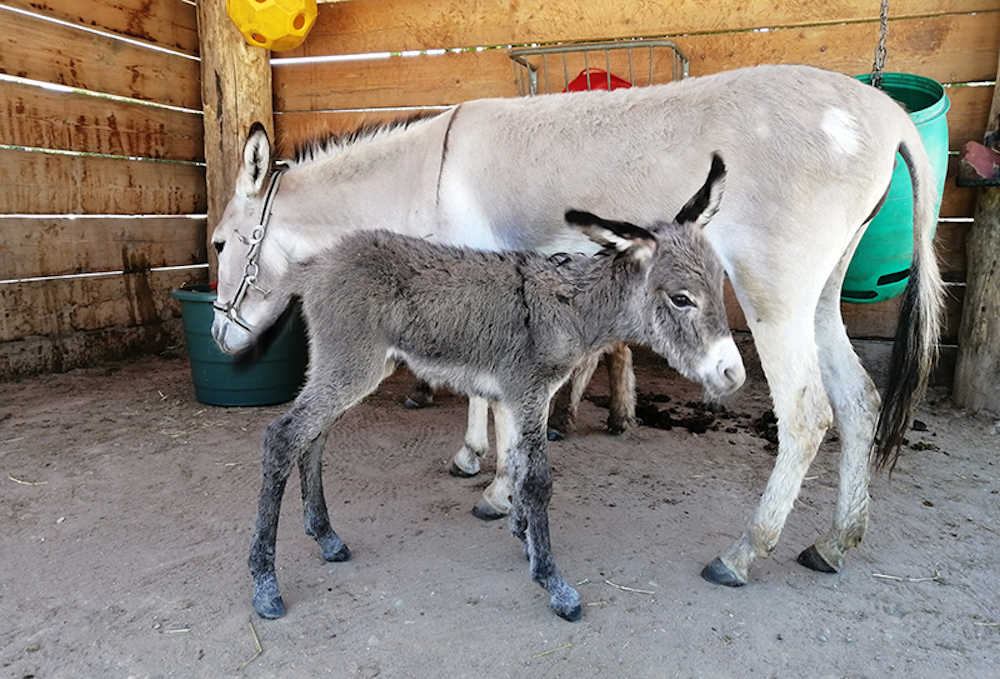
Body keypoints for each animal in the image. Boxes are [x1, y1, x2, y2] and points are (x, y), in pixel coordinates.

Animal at [247, 157, 744, 624]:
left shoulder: (523, 398)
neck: (571, 309)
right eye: (681, 298)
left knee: (313, 438)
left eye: (720, 286)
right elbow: (538, 480)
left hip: (353, 367)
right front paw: (554, 583)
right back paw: (266, 585)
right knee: (282, 437)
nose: (733, 374)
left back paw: (327, 538)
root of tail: (317, 264)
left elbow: (518, 467)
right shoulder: (528, 393)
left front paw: (523, 536)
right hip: (352, 364)